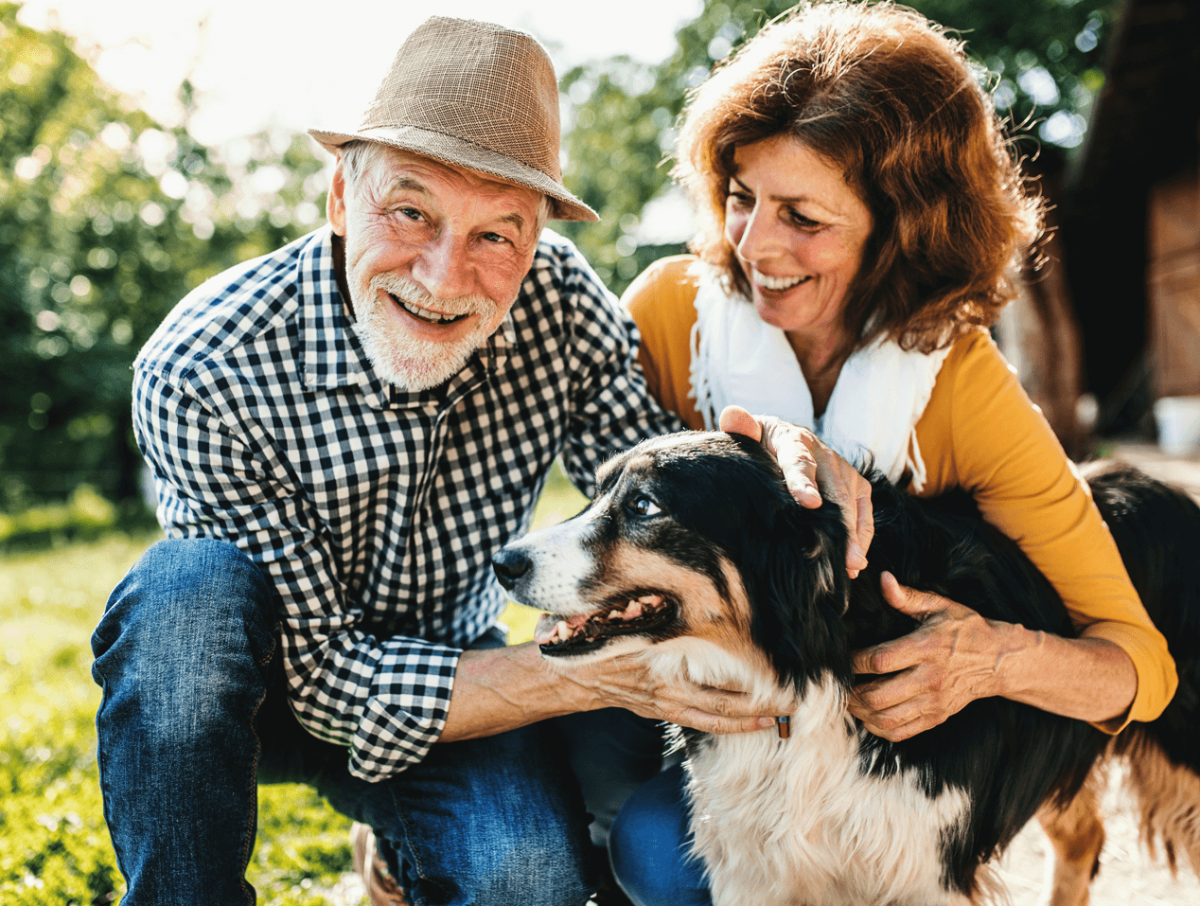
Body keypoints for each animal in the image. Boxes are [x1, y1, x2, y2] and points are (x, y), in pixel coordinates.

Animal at [489, 432, 1200, 906]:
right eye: (598, 491)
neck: (806, 680)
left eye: (644, 506)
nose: (503, 561)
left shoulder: (926, 869)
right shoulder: (758, 866)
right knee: (1084, 839)